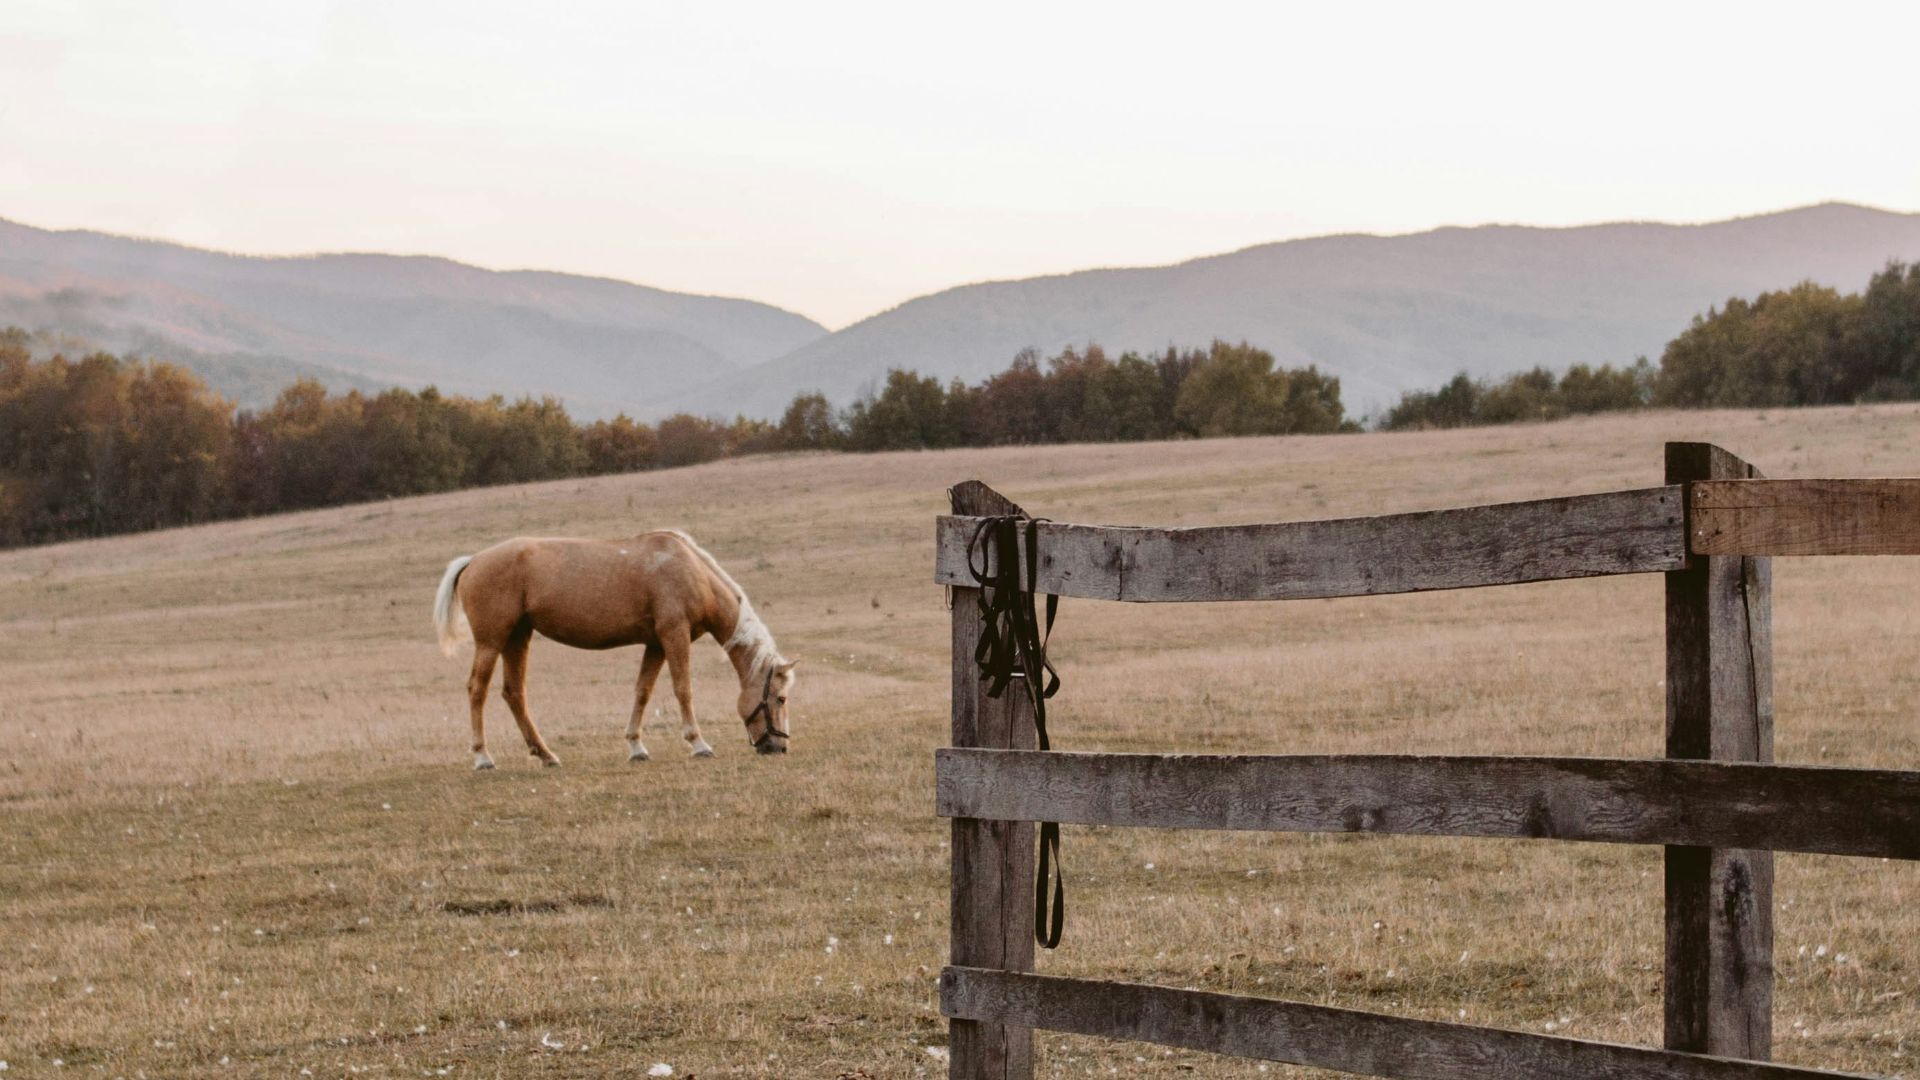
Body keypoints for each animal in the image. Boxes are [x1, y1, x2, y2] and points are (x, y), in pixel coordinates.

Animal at [431, 530, 798, 769]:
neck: (693, 571)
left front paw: (636, 747)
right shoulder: (674, 636)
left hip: (518, 638)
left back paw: (546, 754)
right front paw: (698, 744)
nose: (778, 747)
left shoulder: (655, 644)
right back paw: (483, 757)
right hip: (491, 642)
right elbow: (683, 689)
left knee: (514, 693)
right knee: (477, 690)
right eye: (780, 698)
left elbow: (642, 692)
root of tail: (474, 560)